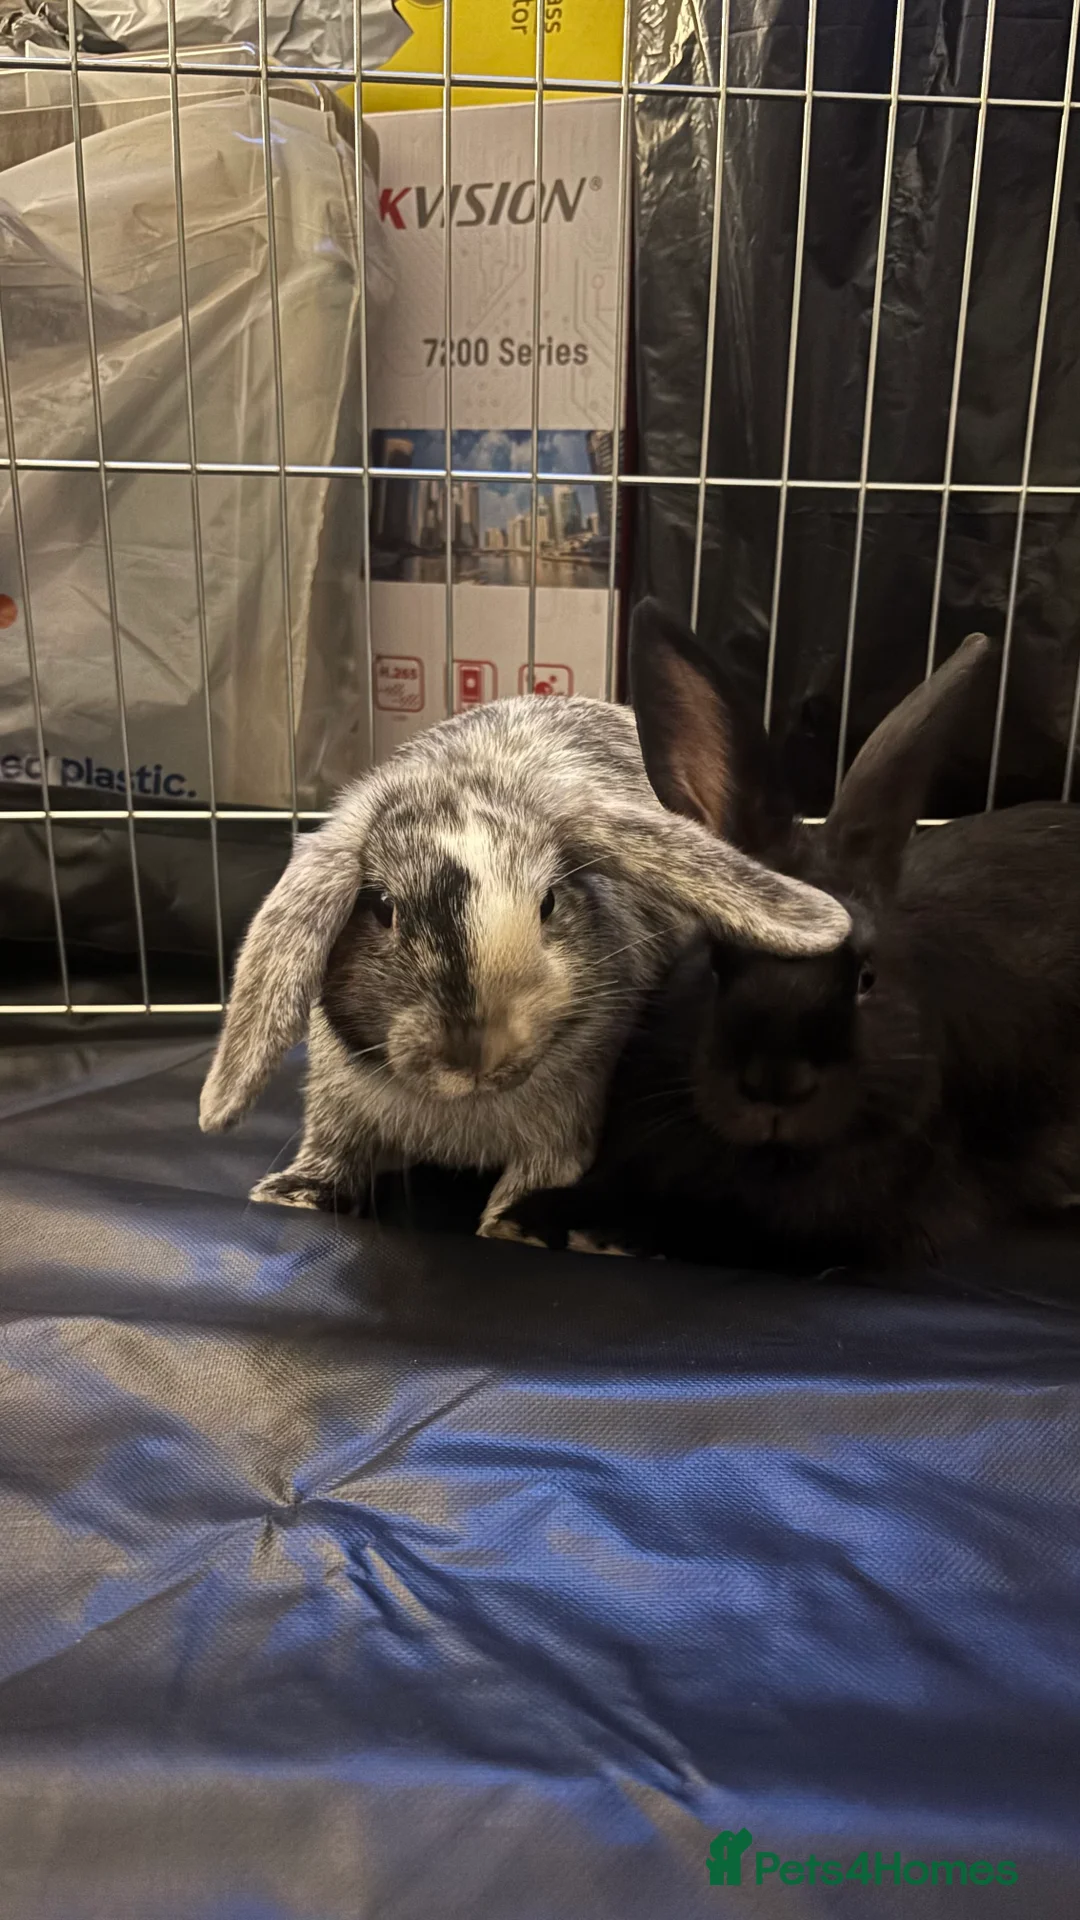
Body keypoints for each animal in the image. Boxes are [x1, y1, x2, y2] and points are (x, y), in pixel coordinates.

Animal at [198, 690, 851, 1237]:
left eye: (549, 902)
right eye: (383, 908)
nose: (476, 1052)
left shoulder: (565, 1129)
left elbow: (533, 1180)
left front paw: (508, 1229)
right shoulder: (336, 1102)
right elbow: (334, 1150)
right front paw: (291, 1196)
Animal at [506, 600, 1080, 1268]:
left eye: (866, 978)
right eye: (718, 962)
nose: (776, 1084)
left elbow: (708, 1227)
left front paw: (585, 1227)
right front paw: (535, 1212)